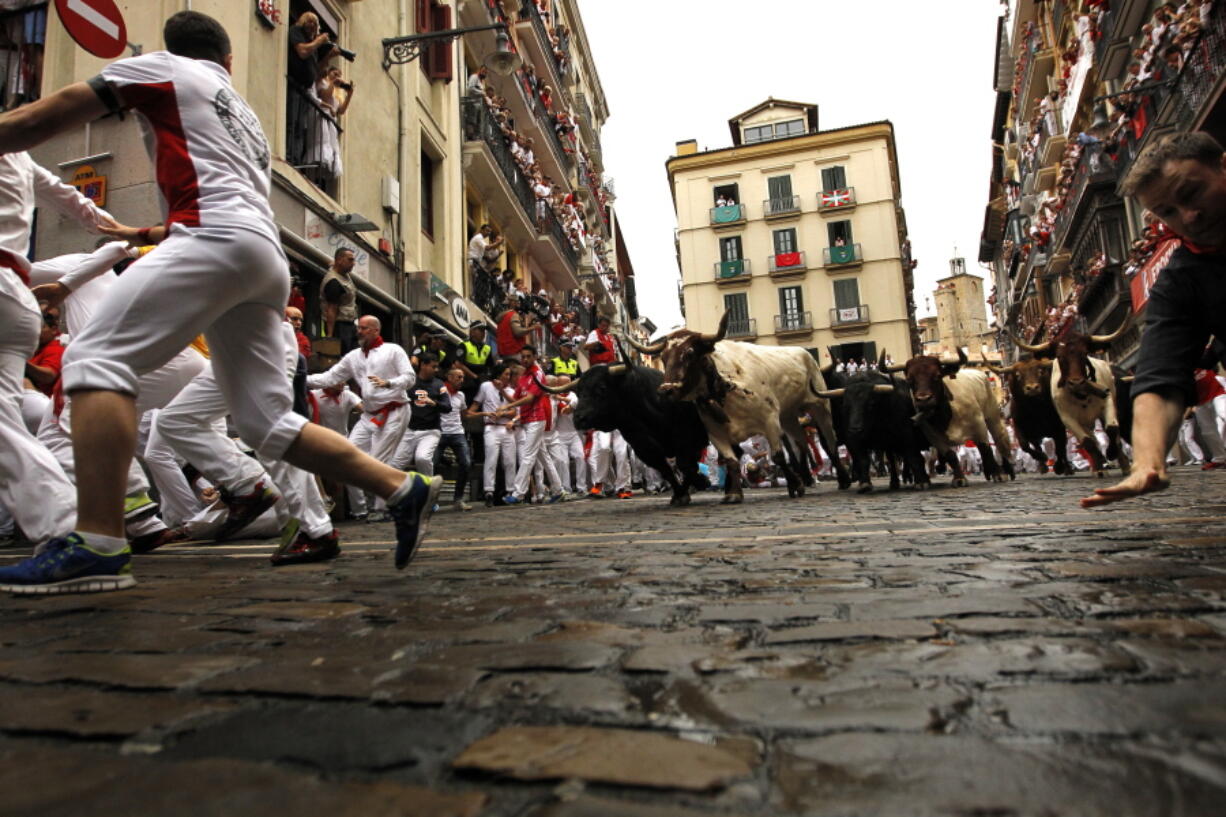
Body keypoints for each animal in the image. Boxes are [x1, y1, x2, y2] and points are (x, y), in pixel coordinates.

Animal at [536, 350, 711, 502]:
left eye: (601, 388)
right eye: (579, 391)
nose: (579, 419)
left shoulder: (688, 440)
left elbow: (686, 466)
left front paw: (698, 484)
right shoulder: (644, 447)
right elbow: (666, 469)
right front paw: (681, 493)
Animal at [627, 311, 848, 502]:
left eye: (689, 353)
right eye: (664, 357)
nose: (666, 390)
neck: (726, 387)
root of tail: (804, 353)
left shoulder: (770, 420)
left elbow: (778, 456)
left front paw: (795, 485)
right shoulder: (715, 431)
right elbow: (731, 460)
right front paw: (733, 493)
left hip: (820, 406)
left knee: (829, 442)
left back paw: (843, 479)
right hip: (788, 416)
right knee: (801, 443)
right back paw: (807, 476)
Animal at [892, 348, 1015, 485]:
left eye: (937, 376)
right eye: (909, 379)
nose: (923, 399)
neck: (946, 414)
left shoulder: (978, 424)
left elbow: (985, 449)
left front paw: (997, 473)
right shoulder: (933, 436)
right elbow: (950, 455)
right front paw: (959, 478)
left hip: (992, 415)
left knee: (999, 440)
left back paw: (1007, 470)